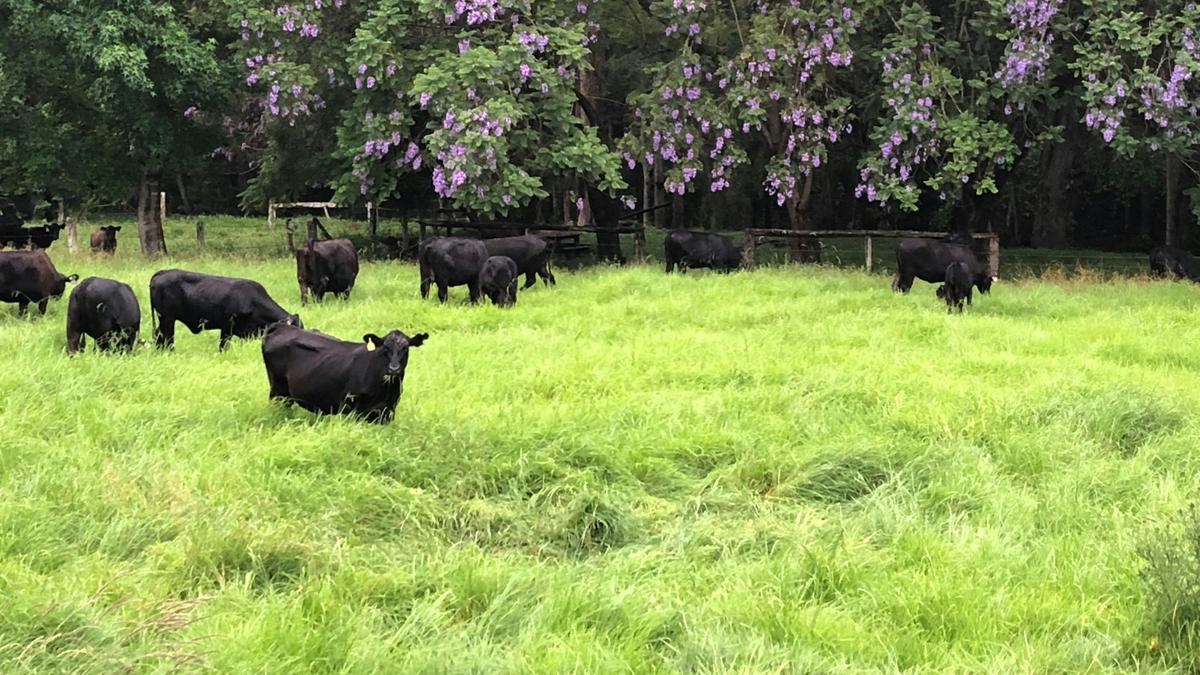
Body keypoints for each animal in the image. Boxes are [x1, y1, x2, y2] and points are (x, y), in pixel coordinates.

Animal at [262, 323, 429, 423]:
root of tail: (281, 326)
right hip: (277, 391)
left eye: (405, 348)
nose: (394, 369)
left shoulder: (388, 411)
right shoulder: (352, 408)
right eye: (385, 348)